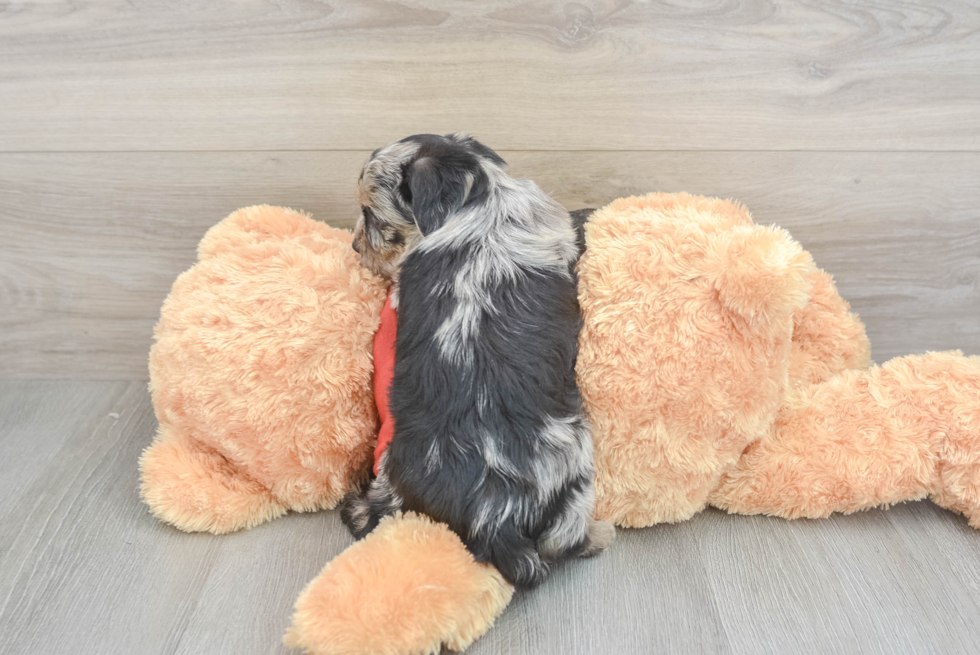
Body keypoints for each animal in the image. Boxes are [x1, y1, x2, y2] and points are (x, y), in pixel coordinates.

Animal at [338, 133, 612, 588]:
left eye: (371, 214)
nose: (356, 246)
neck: (476, 199)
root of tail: (493, 517)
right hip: (575, 472)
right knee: (564, 542)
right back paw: (600, 535)